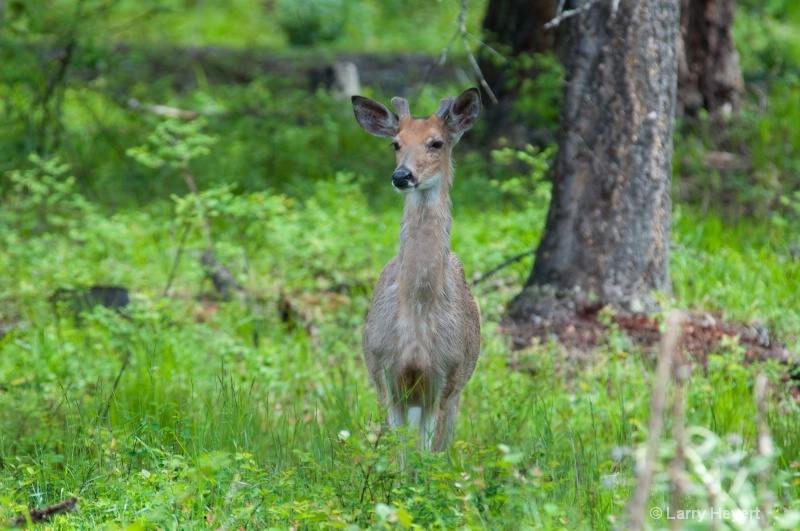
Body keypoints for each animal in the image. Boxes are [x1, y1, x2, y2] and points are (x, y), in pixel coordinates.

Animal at [352, 87, 482, 454]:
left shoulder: (444, 377)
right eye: (395, 143)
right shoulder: (385, 373)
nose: (402, 176)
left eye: (436, 142)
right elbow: (397, 453)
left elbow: (428, 455)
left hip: (458, 388)